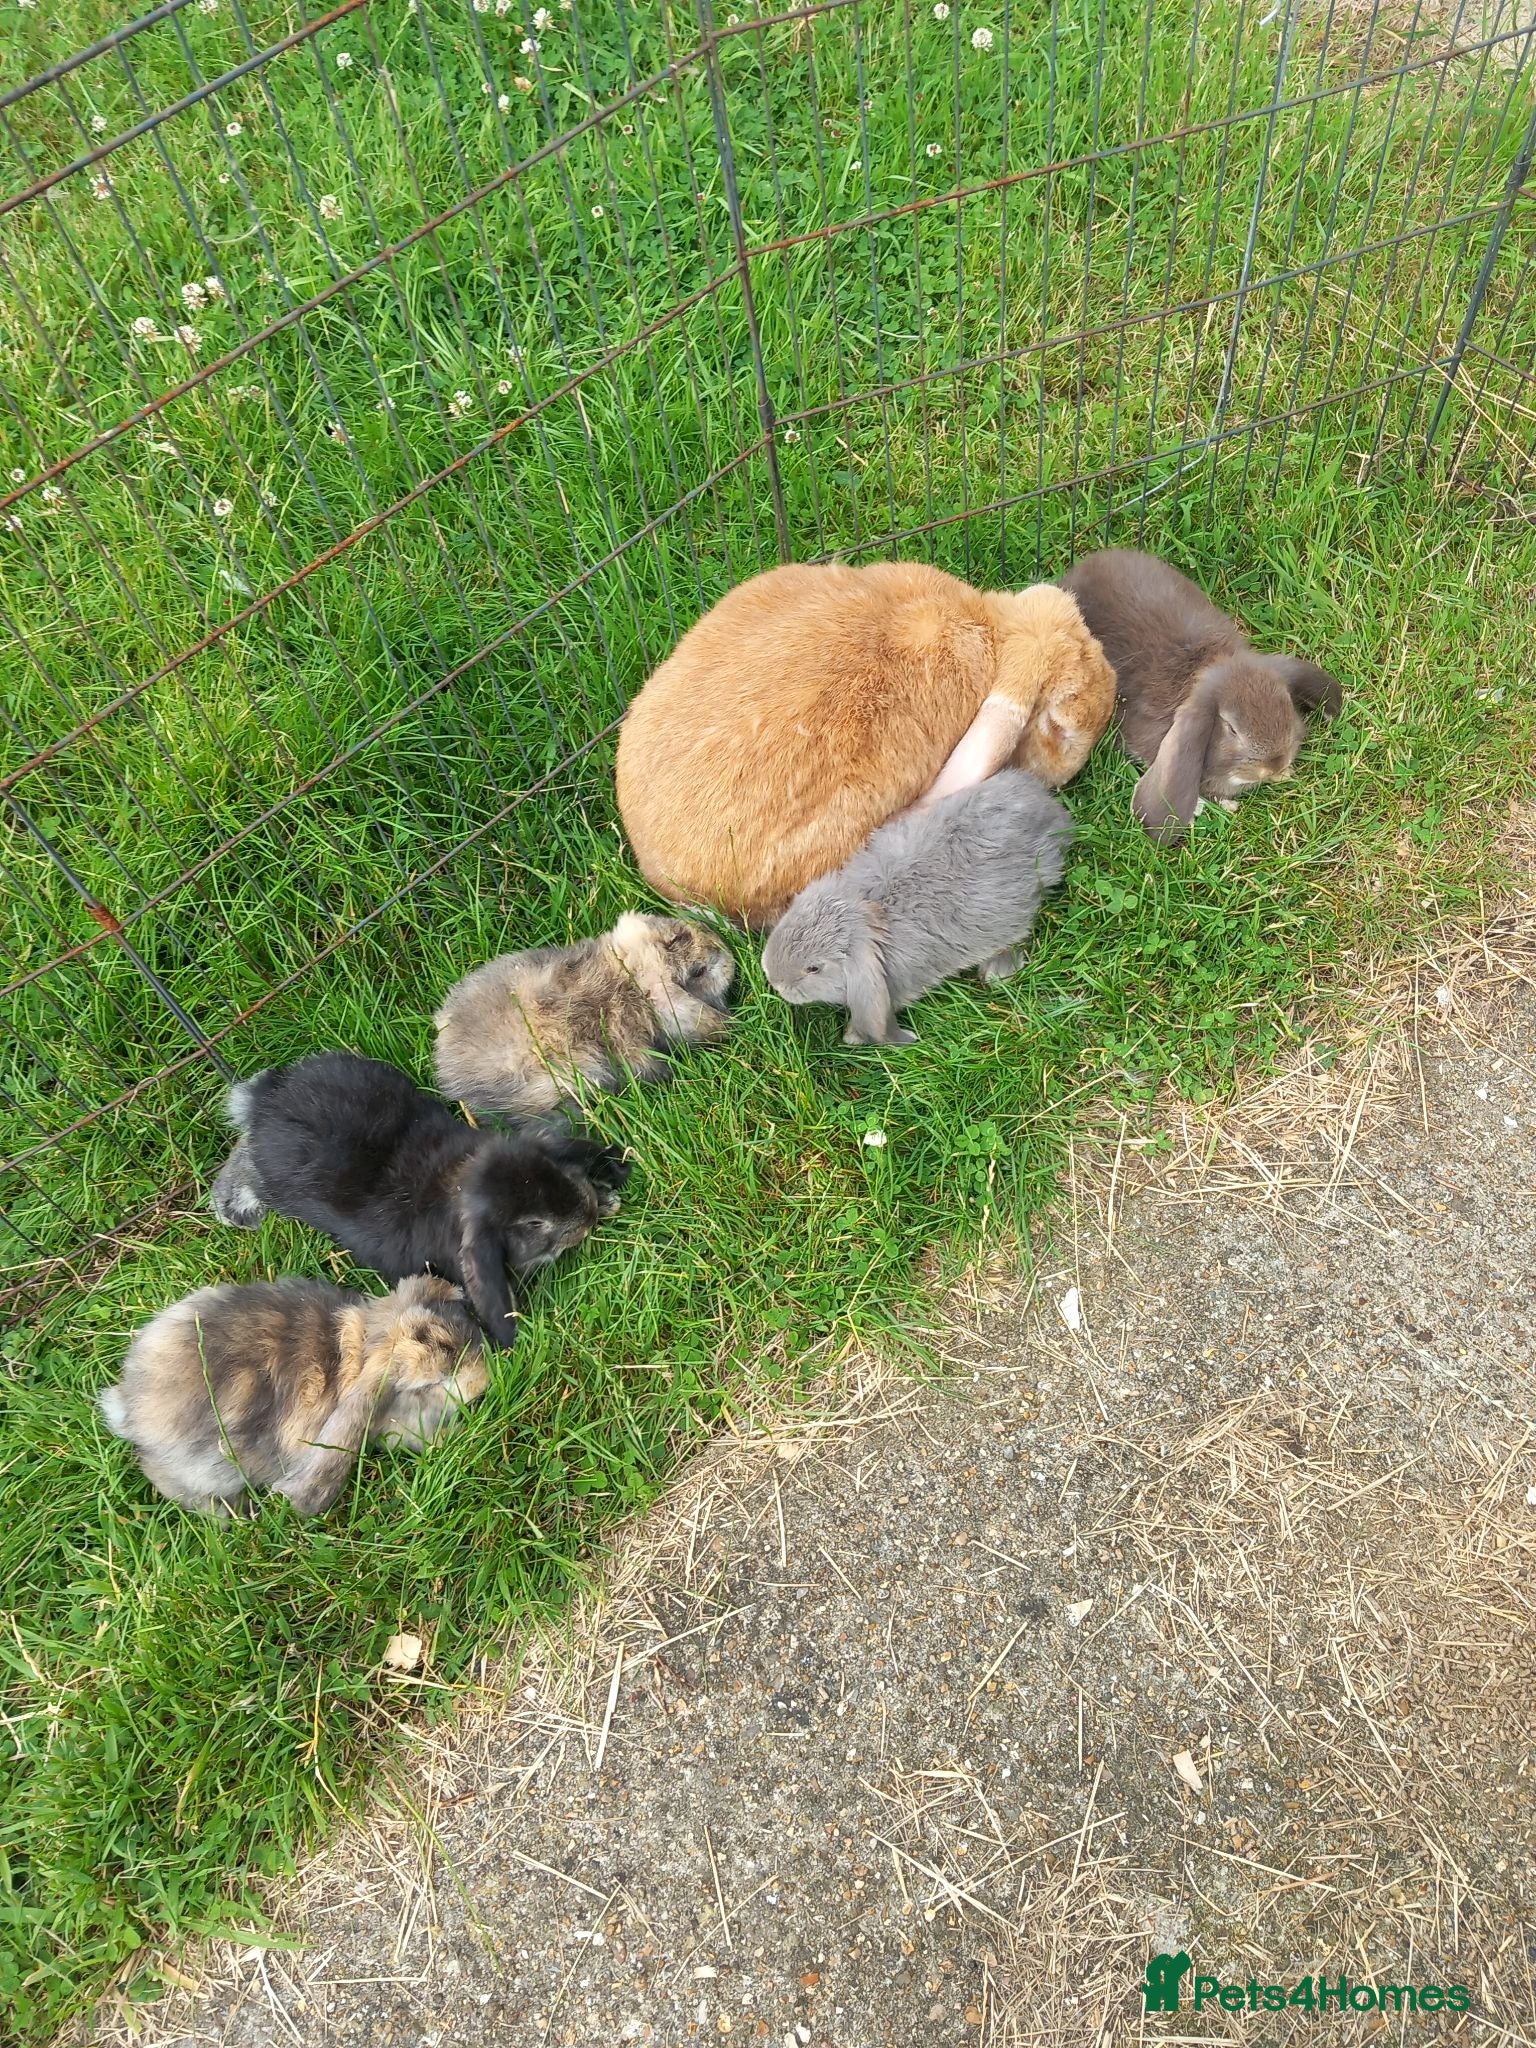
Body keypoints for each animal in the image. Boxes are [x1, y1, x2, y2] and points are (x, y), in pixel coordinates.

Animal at [761, 768, 1074, 1047]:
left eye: (814, 968)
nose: (774, 979)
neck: (869, 912)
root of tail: (1050, 810)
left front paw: (854, 1037)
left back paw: (997, 971)